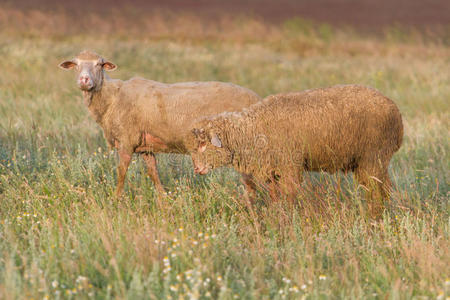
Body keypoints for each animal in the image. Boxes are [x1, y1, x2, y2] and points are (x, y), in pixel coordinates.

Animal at [60, 51, 264, 197]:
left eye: (99, 64)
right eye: (76, 65)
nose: (84, 80)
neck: (112, 97)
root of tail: (257, 98)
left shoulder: (126, 140)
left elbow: (121, 173)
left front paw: (116, 200)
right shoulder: (145, 145)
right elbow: (154, 174)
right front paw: (163, 201)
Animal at [186, 84, 404, 216]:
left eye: (203, 144)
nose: (197, 169)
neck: (252, 130)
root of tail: (395, 111)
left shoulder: (290, 165)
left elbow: (289, 194)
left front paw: (288, 217)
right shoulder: (272, 170)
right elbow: (275, 196)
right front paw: (276, 214)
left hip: (374, 157)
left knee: (378, 190)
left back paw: (375, 216)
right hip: (367, 162)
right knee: (381, 189)